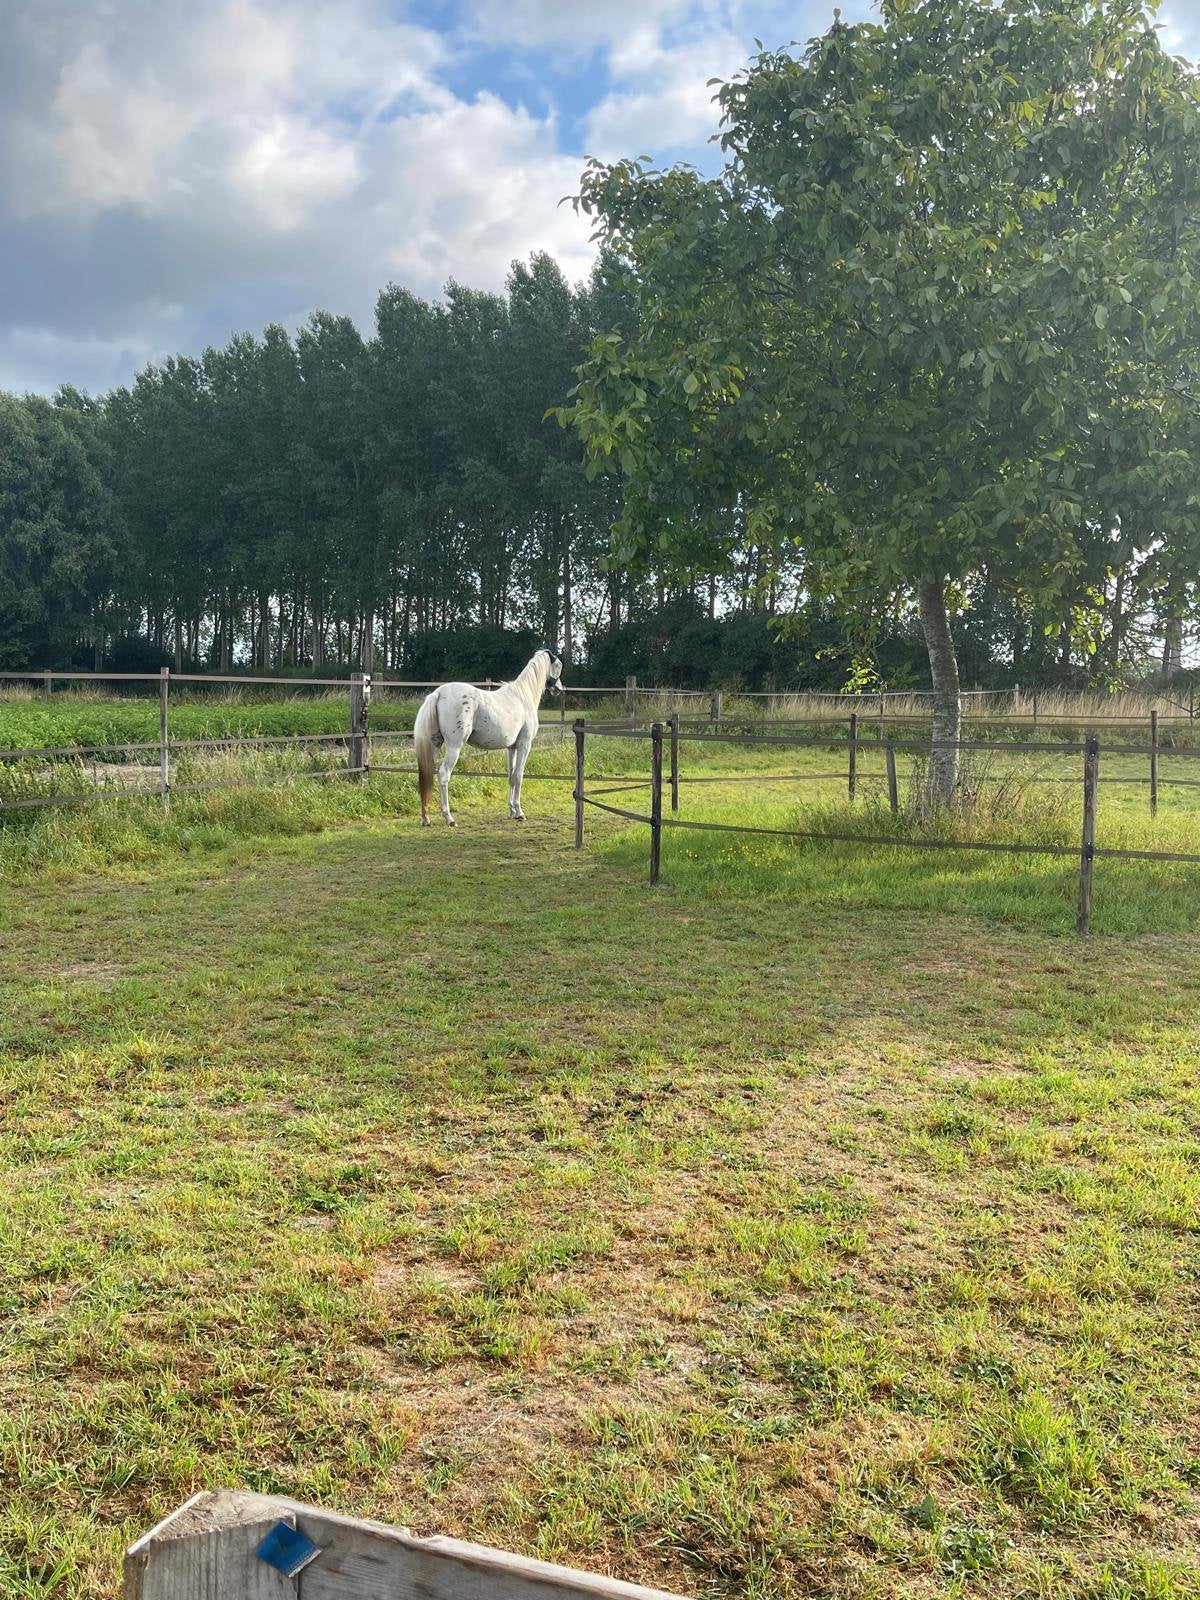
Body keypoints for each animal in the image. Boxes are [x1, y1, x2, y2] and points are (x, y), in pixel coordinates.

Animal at [413, 649, 563, 826]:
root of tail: (438, 693)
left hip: (434, 744)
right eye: (558, 665)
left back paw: (425, 818)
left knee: (426, 774)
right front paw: (519, 812)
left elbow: (511, 777)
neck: (523, 697)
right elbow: (519, 776)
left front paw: (512, 811)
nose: (559, 689)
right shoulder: (524, 745)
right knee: (443, 774)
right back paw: (449, 818)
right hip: (454, 746)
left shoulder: (511, 748)